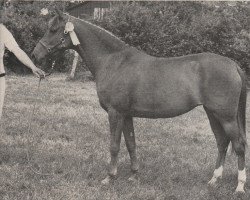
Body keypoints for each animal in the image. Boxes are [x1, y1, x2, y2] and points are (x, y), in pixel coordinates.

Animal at [32, 9, 247, 194]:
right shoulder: (126, 115)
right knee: (222, 143)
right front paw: (134, 175)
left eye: (53, 29)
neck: (114, 61)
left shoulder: (115, 113)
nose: (35, 54)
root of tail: (233, 65)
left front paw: (109, 177)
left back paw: (239, 187)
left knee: (238, 145)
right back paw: (214, 180)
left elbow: (114, 145)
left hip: (226, 117)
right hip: (213, 114)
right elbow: (131, 143)